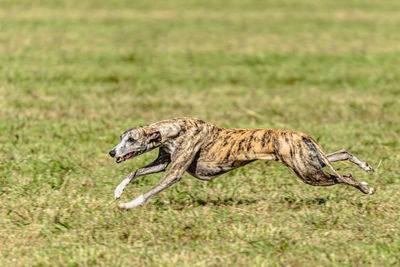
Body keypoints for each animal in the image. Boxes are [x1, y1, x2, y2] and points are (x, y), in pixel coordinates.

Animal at [107, 118, 376, 210]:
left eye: (131, 139)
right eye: (122, 137)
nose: (111, 152)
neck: (174, 129)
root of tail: (299, 134)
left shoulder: (174, 172)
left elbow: (150, 190)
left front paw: (128, 205)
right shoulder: (163, 162)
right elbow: (135, 171)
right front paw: (119, 191)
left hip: (309, 173)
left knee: (343, 177)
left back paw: (366, 187)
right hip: (310, 161)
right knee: (342, 153)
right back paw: (365, 169)